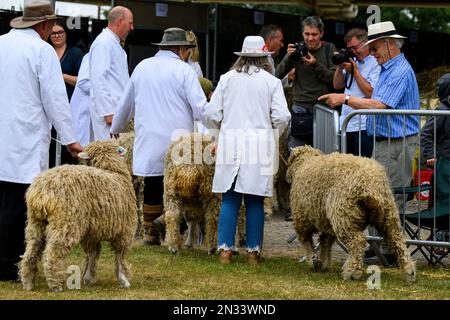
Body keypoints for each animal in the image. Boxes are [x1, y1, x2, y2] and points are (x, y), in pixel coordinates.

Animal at [20, 140, 137, 290]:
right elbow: (119, 255)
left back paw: (28, 282)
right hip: (65, 223)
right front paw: (123, 279)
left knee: (31, 252)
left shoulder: (92, 230)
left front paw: (88, 277)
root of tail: (41, 192)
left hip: (36, 223)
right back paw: (55, 285)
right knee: (52, 254)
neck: (113, 171)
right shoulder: (124, 230)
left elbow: (92, 252)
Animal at [286, 146, 416, 282]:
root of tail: (370, 185)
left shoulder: (301, 218)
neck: (304, 163)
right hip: (388, 215)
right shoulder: (326, 221)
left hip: (343, 216)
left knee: (357, 242)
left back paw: (352, 272)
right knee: (397, 240)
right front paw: (324, 263)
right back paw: (409, 271)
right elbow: (325, 242)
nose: (286, 177)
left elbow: (306, 241)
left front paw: (313, 260)